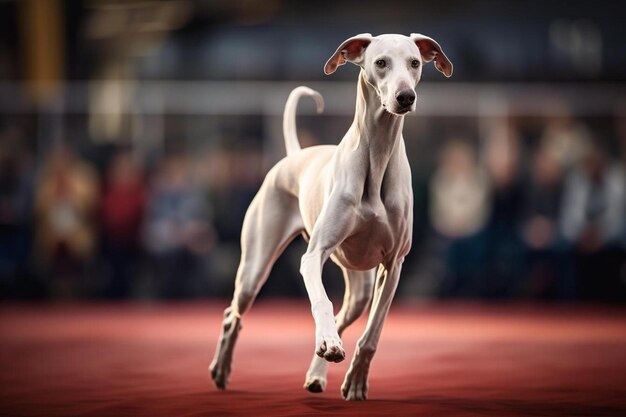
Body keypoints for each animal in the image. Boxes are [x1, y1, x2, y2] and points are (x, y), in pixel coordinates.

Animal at [208, 33, 448, 400]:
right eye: (380, 63)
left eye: (415, 63)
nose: (406, 96)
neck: (377, 156)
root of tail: (295, 155)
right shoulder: (314, 256)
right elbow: (320, 300)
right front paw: (330, 345)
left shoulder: (393, 265)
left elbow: (372, 332)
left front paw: (356, 379)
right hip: (254, 268)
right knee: (232, 314)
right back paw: (222, 368)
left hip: (360, 286)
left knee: (345, 313)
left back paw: (317, 373)